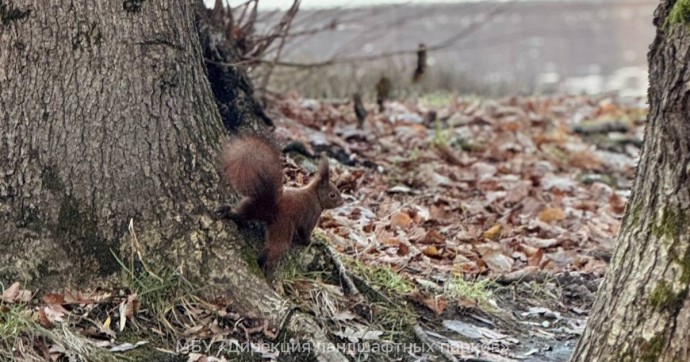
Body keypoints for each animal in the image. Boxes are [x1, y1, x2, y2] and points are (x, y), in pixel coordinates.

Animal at [218, 135, 342, 272]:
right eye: (332, 195)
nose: (342, 202)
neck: (315, 196)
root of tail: (271, 206)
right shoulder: (311, 214)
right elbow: (305, 233)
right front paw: (313, 242)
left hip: (252, 207)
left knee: (240, 214)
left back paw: (227, 212)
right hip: (282, 228)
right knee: (275, 249)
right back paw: (266, 268)